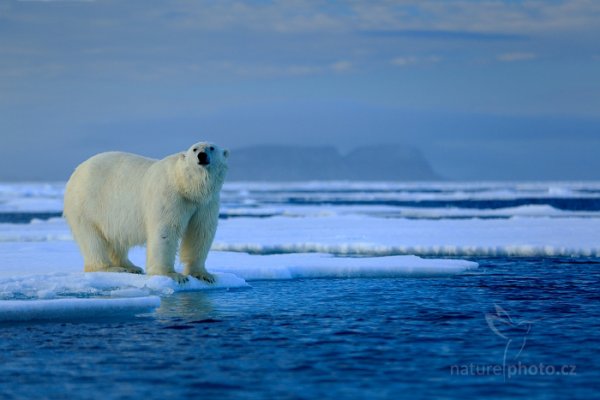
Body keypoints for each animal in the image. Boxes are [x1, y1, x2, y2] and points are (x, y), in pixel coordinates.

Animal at [62, 142, 227, 282]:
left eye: (211, 148)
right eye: (194, 149)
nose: (202, 155)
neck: (185, 186)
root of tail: (76, 172)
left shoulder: (206, 203)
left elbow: (200, 232)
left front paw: (203, 275)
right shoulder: (169, 195)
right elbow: (166, 231)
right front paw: (172, 275)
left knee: (116, 239)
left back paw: (131, 266)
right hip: (86, 205)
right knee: (92, 239)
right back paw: (110, 268)